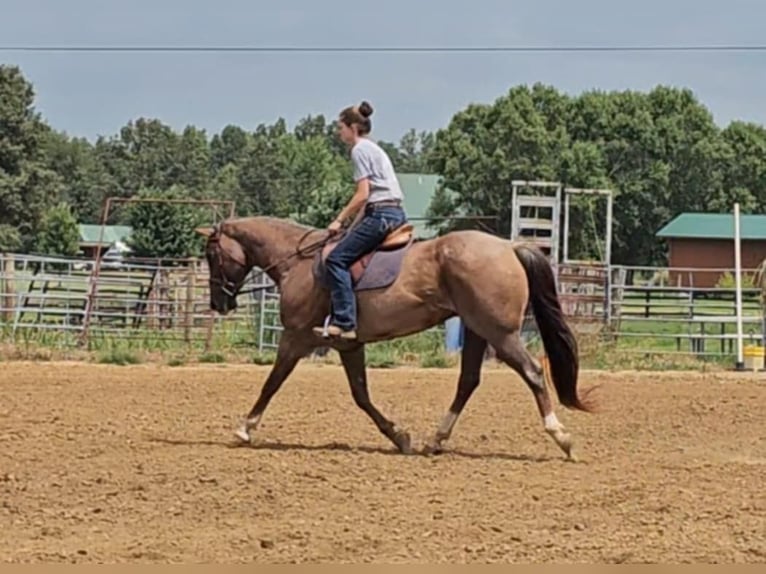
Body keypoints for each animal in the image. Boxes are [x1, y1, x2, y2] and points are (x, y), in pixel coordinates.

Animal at [194, 214, 600, 462]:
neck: (299, 262)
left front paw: (244, 428)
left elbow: (271, 383)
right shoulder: (349, 344)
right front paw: (399, 436)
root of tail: (508, 247)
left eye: (212, 254)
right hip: (477, 331)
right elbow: (361, 395)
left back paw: (561, 437)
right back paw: (435, 440)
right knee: (468, 380)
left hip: (500, 333)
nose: (219, 302)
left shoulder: (295, 339)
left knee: (532, 372)